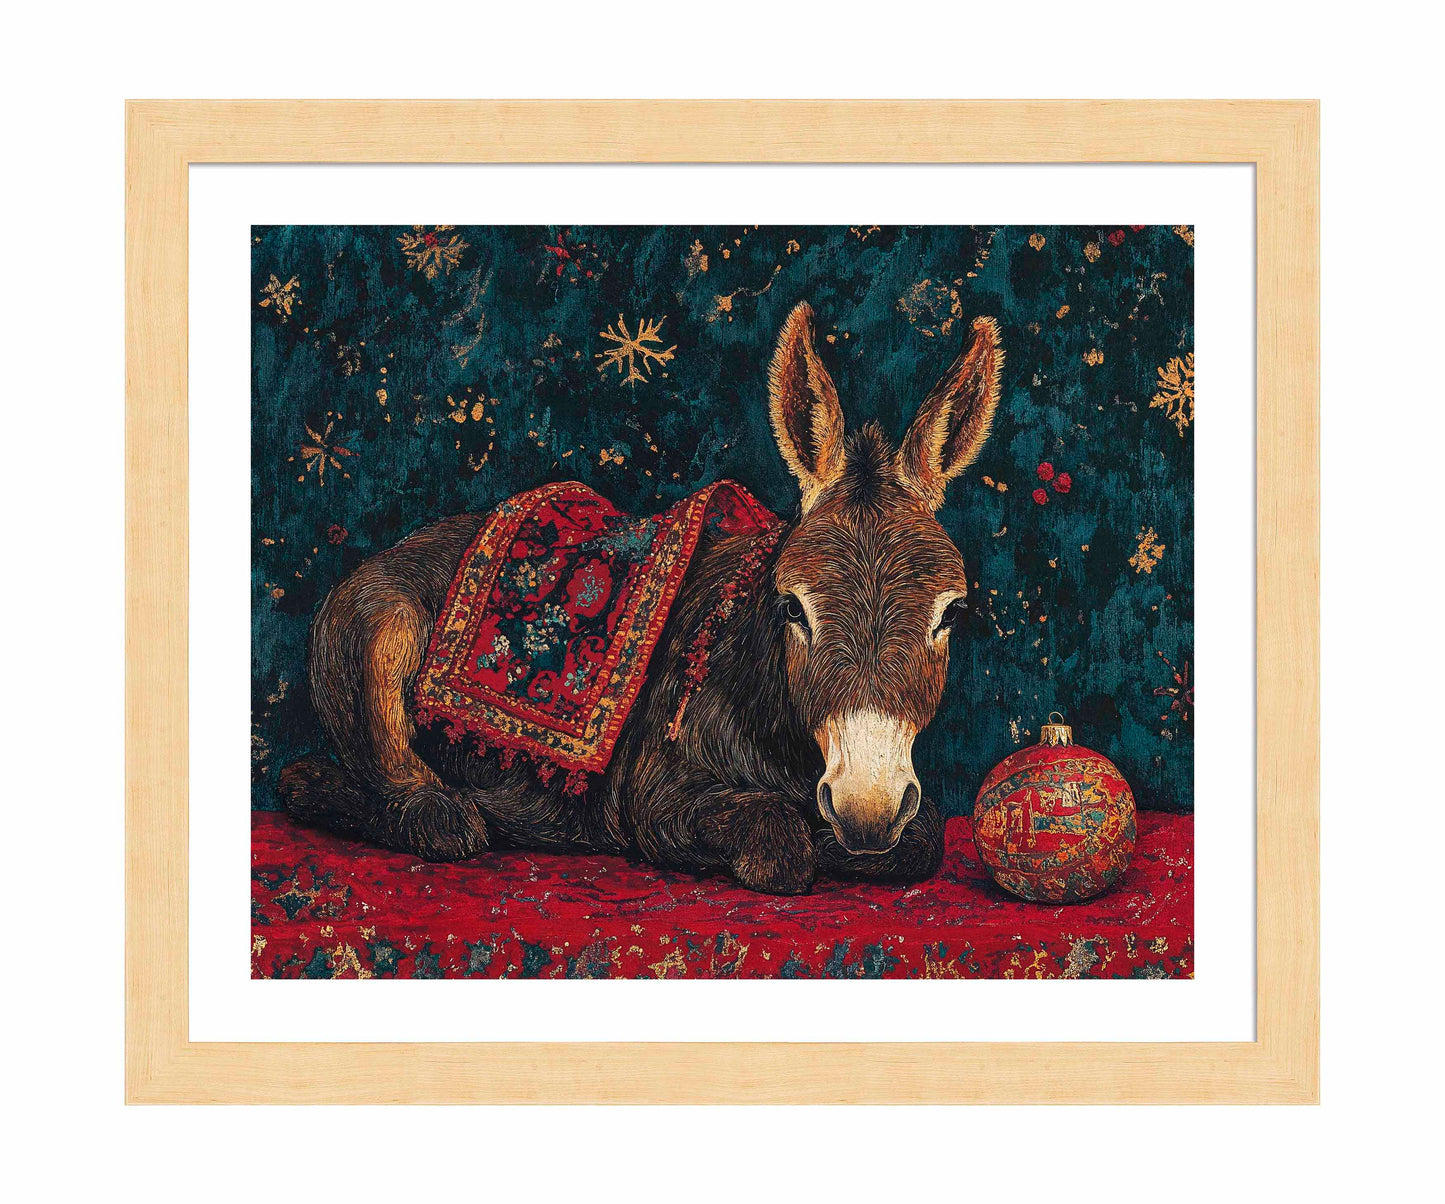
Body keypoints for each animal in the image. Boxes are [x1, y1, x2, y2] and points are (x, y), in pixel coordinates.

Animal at [278, 301, 1003, 895]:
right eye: (792, 607)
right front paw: (809, 841)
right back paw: (450, 811)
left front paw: (852, 840)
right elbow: (777, 845)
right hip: (385, 631)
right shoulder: (654, 797)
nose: (865, 809)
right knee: (347, 785)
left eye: (950, 613)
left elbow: (922, 837)